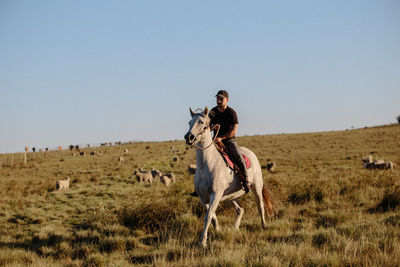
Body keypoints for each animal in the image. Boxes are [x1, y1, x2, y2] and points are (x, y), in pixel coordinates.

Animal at [185, 107, 276, 249]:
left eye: (202, 122)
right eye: (190, 122)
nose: (189, 137)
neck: (206, 164)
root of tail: (251, 153)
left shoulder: (216, 195)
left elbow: (208, 216)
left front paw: (202, 242)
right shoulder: (203, 198)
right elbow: (212, 216)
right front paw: (217, 231)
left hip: (256, 187)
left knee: (260, 206)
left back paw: (264, 225)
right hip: (231, 195)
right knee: (240, 210)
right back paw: (235, 228)